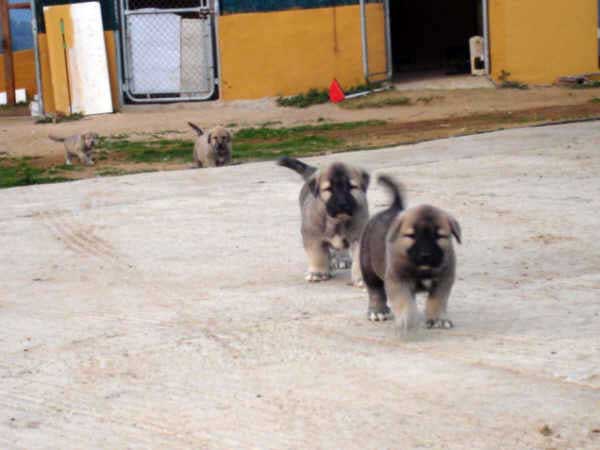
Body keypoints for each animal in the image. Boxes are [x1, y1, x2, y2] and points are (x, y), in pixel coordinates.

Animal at [278, 156, 370, 284]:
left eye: (351, 187)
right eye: (329, 189)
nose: (342, 204)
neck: (337, 221)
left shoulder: (358, 236)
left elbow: (358, 258)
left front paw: (361, 278)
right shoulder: (313, 237)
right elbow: (317, 255)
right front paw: (318, 273)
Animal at [358, 174, 462, 332]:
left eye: (439, 236)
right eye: (411, 236)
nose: (426, 255)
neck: (423, 270)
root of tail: (392, 208)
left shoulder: (443, 280)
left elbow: (437, 300)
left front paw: (438, 318)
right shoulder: (397, 280)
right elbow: (403, 301)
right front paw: (406, 319)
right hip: (368, 267)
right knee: (375, 290)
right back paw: (378, 311)